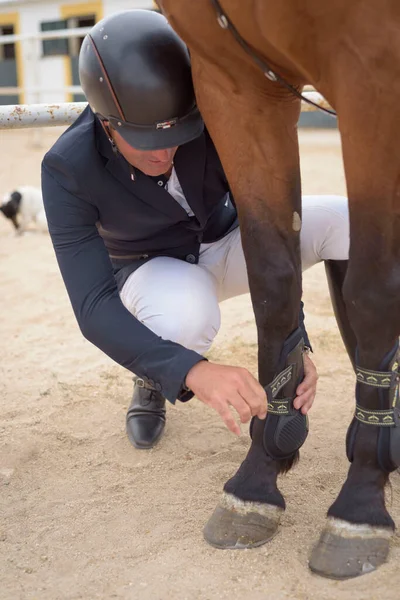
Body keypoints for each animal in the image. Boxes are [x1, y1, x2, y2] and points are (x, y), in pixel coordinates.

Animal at [157, 1, 400, 580]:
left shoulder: (374, 78)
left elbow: (374, 289)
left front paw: (361, 502)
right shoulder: (236, 84)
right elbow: (272, 280)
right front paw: (259, 475)